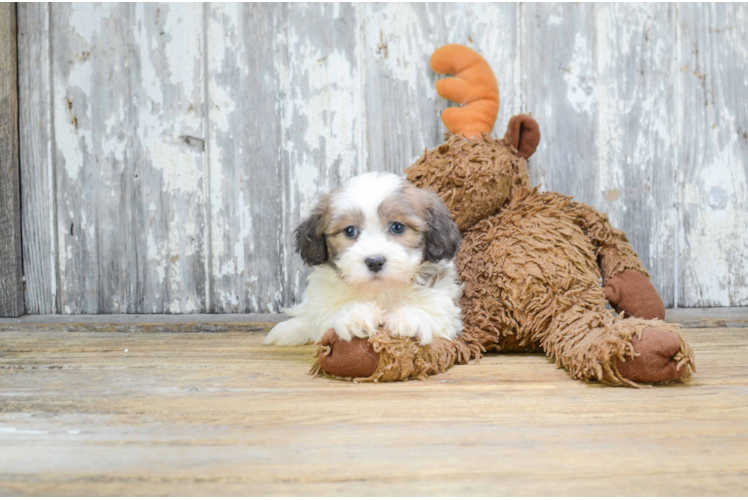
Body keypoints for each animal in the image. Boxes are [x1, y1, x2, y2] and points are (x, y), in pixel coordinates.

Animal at [262, 172, 462, 348]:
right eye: (350, 231)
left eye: (397, 227)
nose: (375, 261)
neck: (380, 290)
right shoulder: (323, 302)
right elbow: (326, 314)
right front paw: (355, 315)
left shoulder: (444, 302)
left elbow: (434, 310)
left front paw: (409, 319)